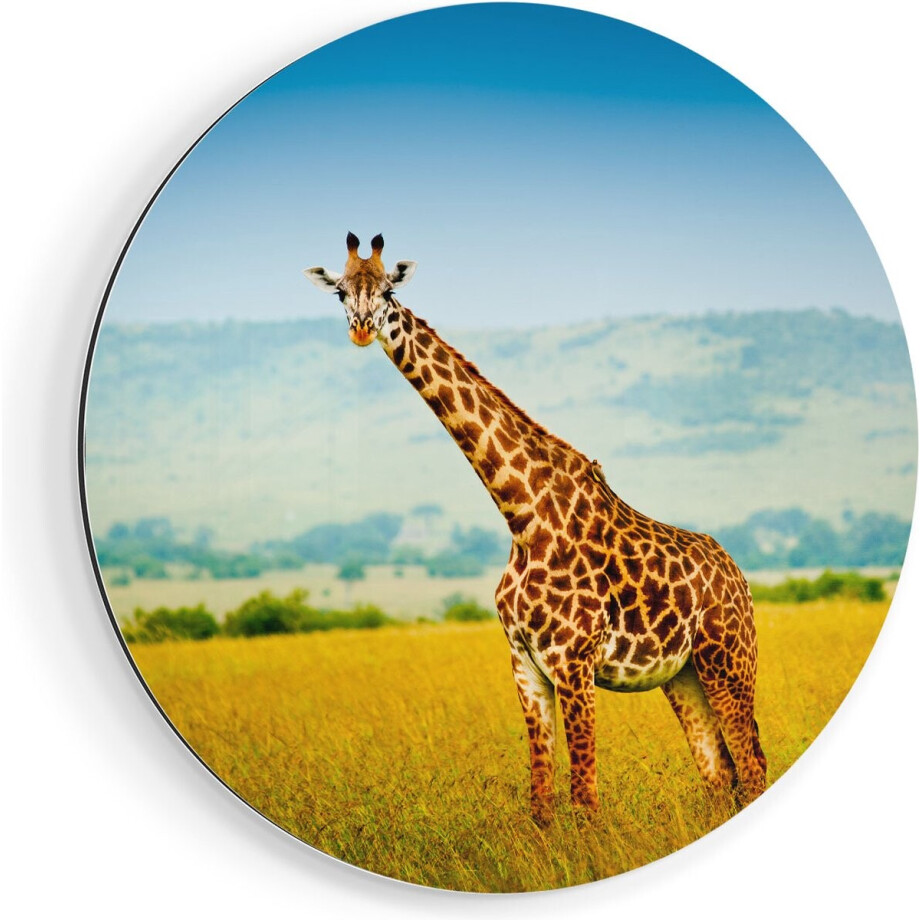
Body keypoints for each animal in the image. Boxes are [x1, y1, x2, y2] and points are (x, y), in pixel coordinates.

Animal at [305, 233, 767, 822]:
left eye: (387, 290)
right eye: (341, 292)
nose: (363, 329)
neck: (522, 515)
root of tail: (740, 577)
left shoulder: (573, 663)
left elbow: (585, 798)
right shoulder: (524, 664)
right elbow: (542, 800)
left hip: (729, 660)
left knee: (752, 767)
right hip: (684, 674)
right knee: (720, 773)